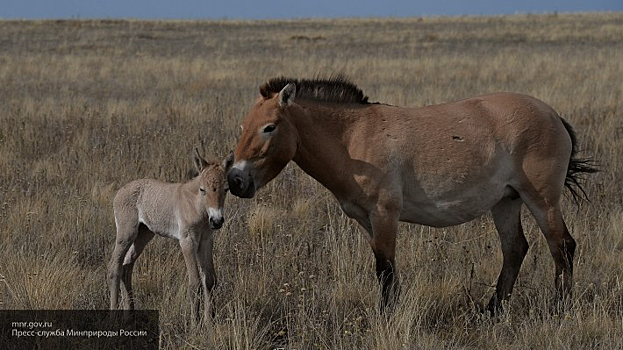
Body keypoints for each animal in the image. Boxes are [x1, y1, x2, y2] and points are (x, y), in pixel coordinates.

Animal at [107, 149, 234, 322]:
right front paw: (195, 324)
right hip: (127, 233)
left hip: (143, 235)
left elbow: (210, 280)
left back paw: (130, 315)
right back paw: (114, 315)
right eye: (202, 189)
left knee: (127, 266)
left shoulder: (206, 240)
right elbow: (195, 283)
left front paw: (209, 322)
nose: (216, 221)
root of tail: (120, 191)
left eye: (226, 189)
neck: (196, 206)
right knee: (115, 266)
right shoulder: (187, 240)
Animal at [227, 76, 596, 312]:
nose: (235, 180)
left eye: (269, 127)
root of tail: (553, 115)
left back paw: (559, 309)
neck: (352, 139)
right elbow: (384, 267)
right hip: (506, 201)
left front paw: (386, 315)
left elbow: (385, 268)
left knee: (562, 247)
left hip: (542, 201)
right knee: (515, 249)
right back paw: (491, 311)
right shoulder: (366, 220)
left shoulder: (385, 214)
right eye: (243, 127)